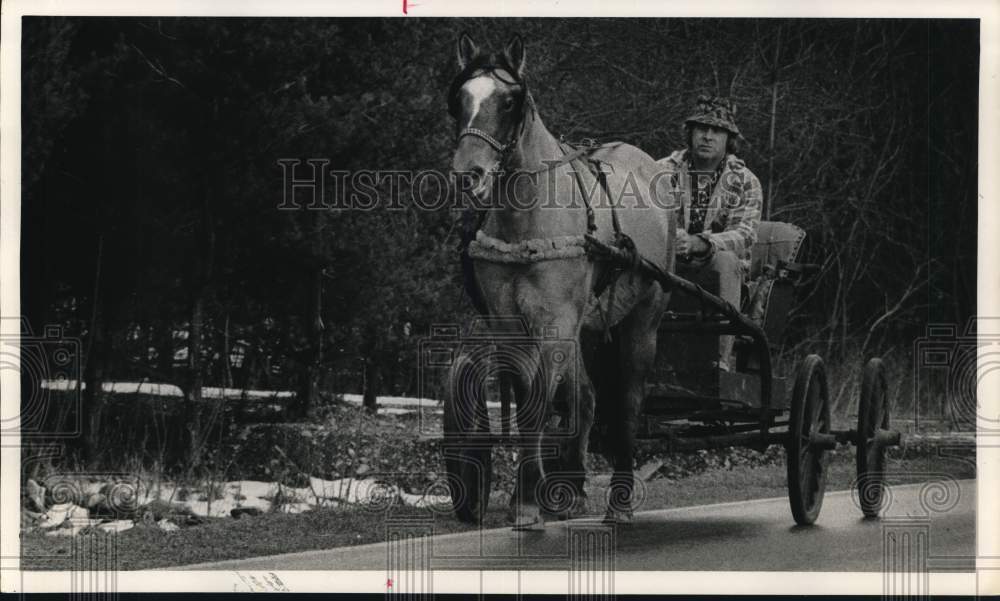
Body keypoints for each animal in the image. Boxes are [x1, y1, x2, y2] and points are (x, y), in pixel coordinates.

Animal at [450, 34, 676, 528]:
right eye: (459, 99)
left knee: (627, 402)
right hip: (584, 327)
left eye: (510, 101)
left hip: (643, 319)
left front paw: (527, 500)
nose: (468, 174)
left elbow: (537, 403)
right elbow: (525, 401)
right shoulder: (509, 324)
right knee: (586, 398)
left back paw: (619, 500)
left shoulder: (553, 322)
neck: (528, 222)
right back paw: (571, 485)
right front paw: (534, 494)